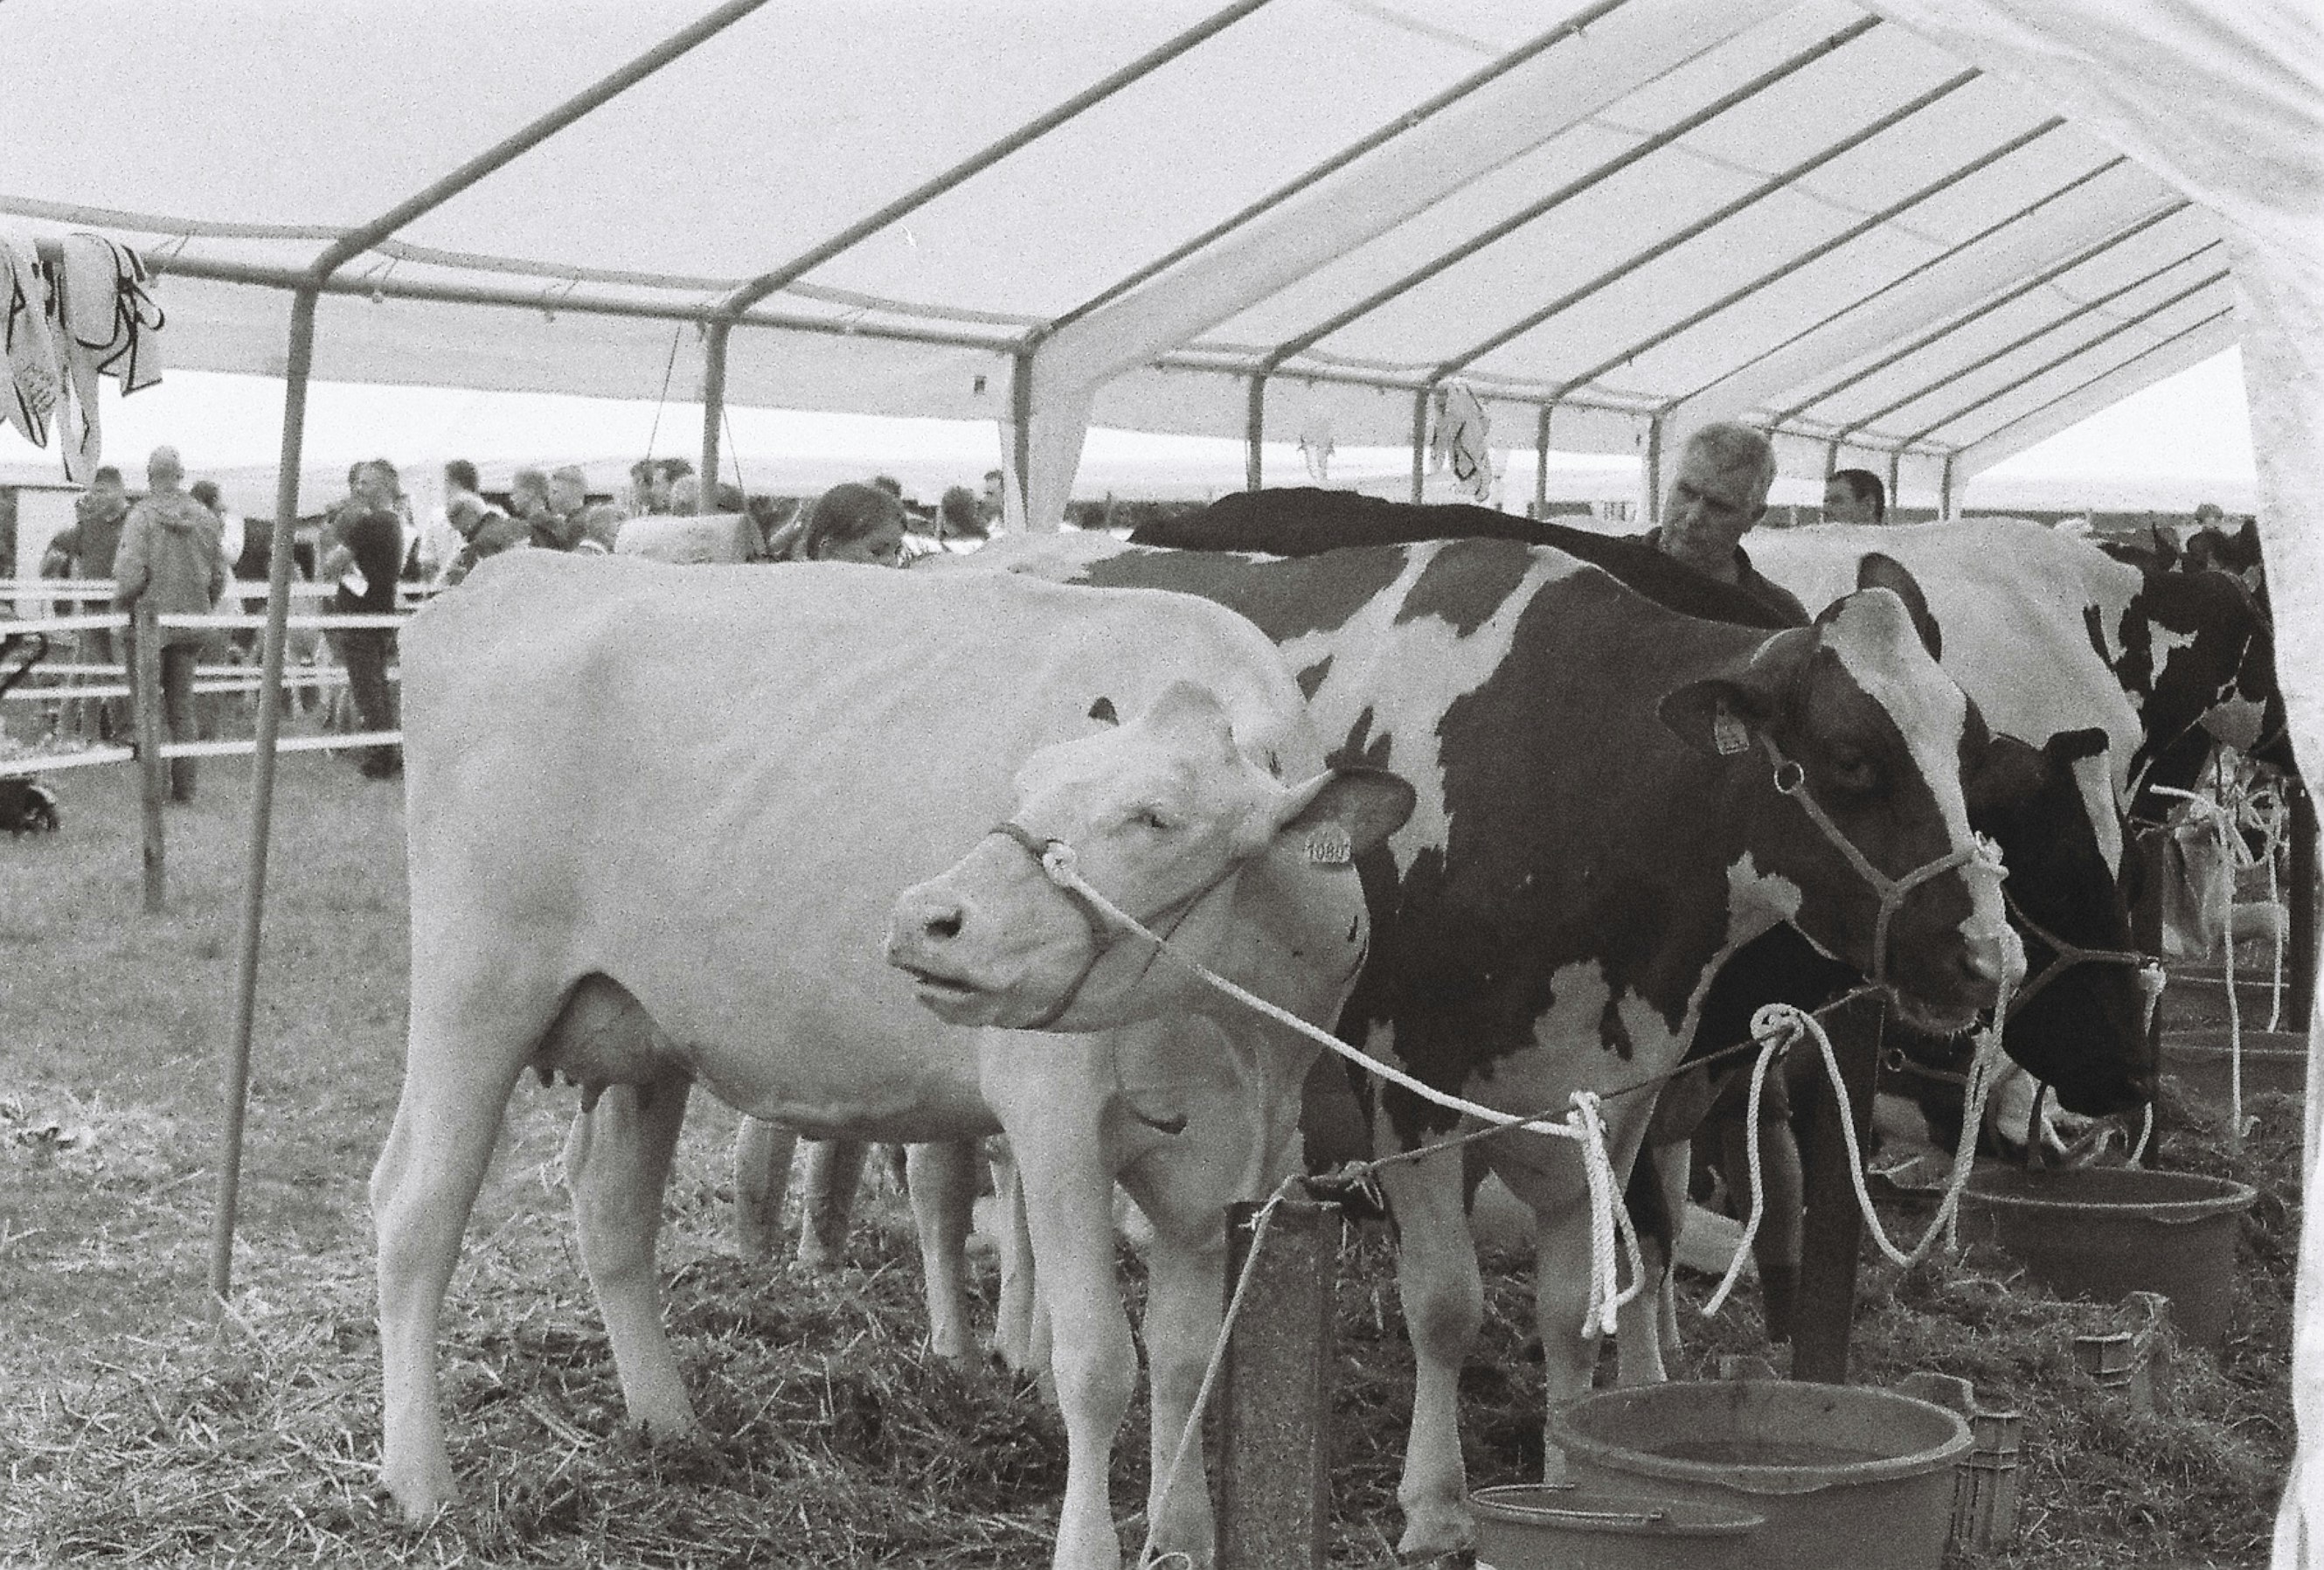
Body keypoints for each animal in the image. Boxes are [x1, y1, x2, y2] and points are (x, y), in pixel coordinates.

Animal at [371, 549, 1413, 1570]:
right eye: (1023, 785)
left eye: (1155, 817)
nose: (924, 916)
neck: (1230, 1034)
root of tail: (516, 572)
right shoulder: (1056, 1123)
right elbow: (1098, 1362)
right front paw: (1091, 1545)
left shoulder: (1229, 1161)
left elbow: (1191, 1355)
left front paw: (1182, 1533)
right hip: (476, 990)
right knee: (416, 1207)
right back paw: (420, 1483)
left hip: (640, 1031)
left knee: (611, 1205)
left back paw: (669, 1425)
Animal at [950, 529, 2011, 1559]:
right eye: (1850, 756)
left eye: (1973, 746)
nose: (1985, 954)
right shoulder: (1405, 1086)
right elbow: (1444, 1302)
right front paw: (1436, 1504)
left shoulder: (1613, 1097)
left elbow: (1578, 1302)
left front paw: (1566, 1472)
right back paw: (1023, 1347)